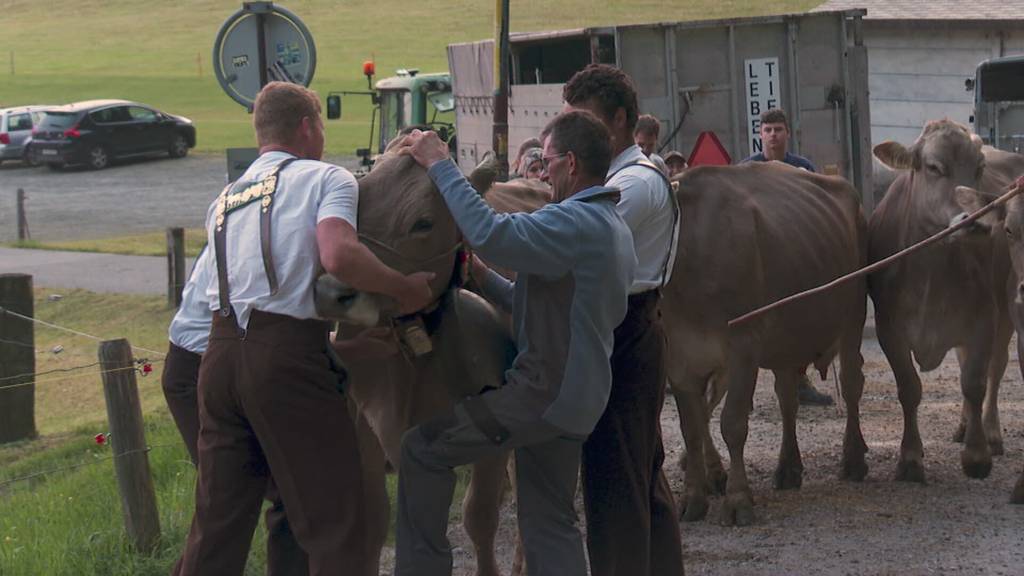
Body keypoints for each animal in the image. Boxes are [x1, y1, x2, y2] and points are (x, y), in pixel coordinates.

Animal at [659, 161, 868, 524]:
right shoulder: (680, 358)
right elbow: (692, 428)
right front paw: (693, 497)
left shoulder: (743, 346)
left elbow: (732, 423)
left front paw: (738, 499)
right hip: (786, 338)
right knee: (787, 399)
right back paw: (788, 468)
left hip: (854, 313)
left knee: (853, 384)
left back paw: (854, 458)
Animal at [868, 117, 1024, 483]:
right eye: (934, 167)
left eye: (979, 167)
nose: (977, 222)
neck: (932, 271)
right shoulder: (888, 329)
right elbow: (909, 388)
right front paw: (911, 458)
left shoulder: (984, 319)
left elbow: (975, 382)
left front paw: (977, 456)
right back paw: (965, 426)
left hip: (1007, 308)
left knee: (996, 368)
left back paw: (990, 432)